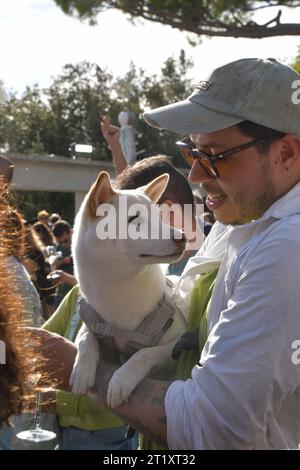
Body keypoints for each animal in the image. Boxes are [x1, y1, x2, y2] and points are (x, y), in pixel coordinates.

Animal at [71, 171, 188, 406]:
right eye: (134, 219)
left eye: (160, 217)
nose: (182, 236)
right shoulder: (93, 325)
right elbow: (85, 339)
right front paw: (82, 370)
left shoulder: (176, 344)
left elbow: (144, 354)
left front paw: (122, 379)